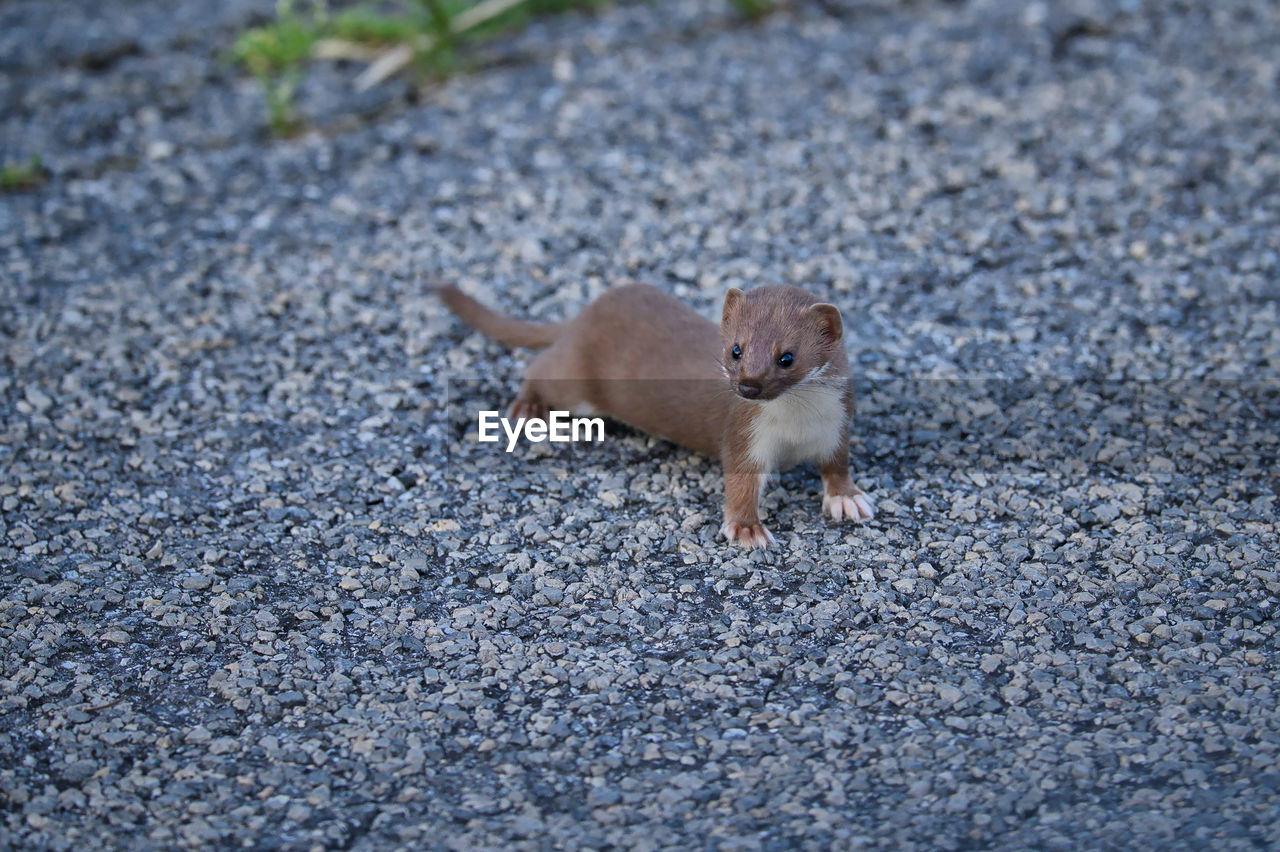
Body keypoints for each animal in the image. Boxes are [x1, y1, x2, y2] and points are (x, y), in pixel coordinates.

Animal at [437, 278, 870, 544]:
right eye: (736, 349)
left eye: (787, 357)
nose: (747, 386)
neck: (797, 424)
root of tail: (585, 315)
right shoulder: (745, 433)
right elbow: (741, 483)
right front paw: (748, 529)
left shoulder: (837, 426)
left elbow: (837, 465)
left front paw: (847, 498)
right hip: (577, 387)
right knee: (540, 365)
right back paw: (528, 405)